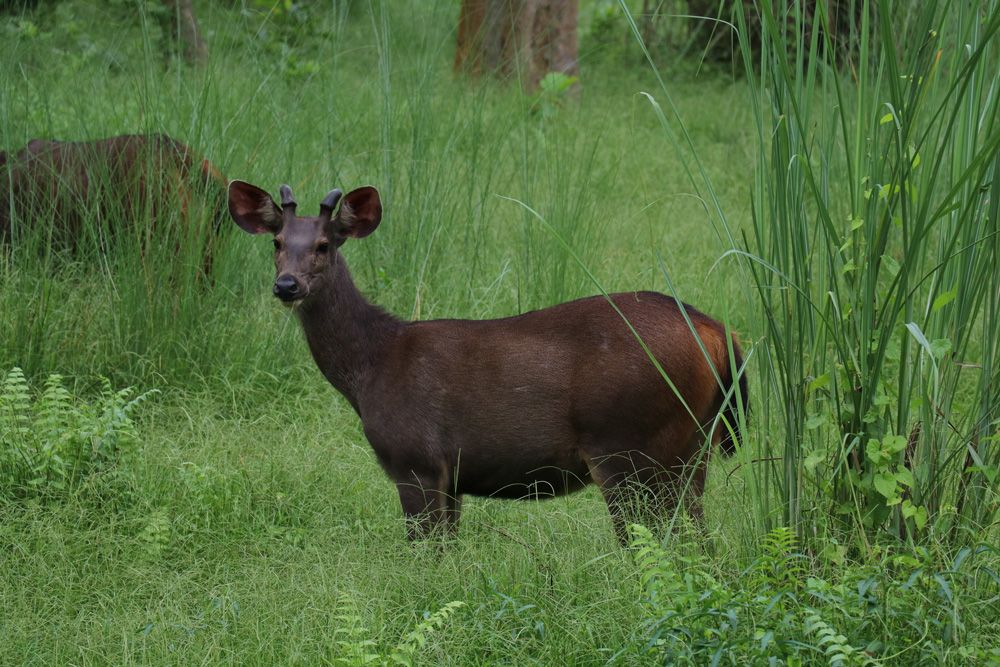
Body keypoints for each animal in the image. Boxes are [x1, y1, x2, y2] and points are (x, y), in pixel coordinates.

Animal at [228, 180, 748, 543]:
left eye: (324, 245)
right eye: (277, 243)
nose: (287, 285)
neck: (370, 369)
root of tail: (717, 331)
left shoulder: (415, 459)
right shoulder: (452, 477)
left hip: (627, 444)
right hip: (692, 446)